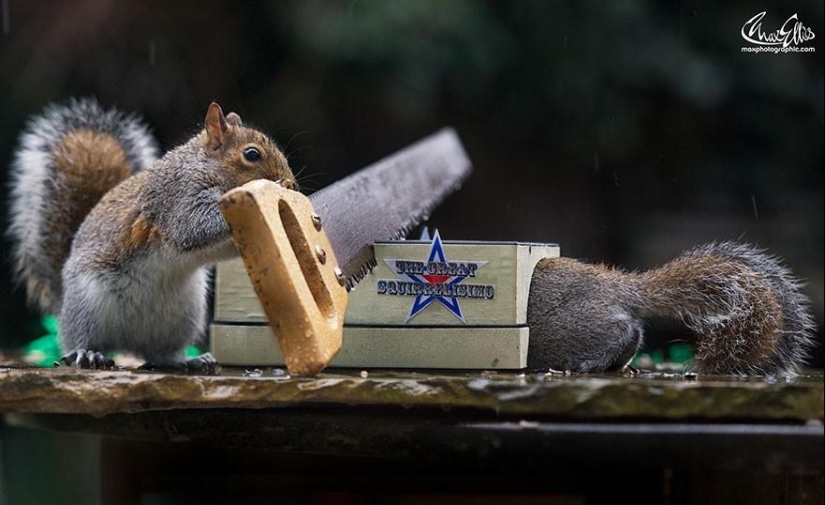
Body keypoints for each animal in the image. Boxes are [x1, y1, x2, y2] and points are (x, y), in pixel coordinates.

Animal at [8, 98, 296, 369]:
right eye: (252, 154)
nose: (292, 184)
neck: (204, 166)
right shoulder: (178, 200)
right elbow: (194, 227)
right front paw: (276, 186)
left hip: (183, 316)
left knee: (160, 355)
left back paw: (189, 361)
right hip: (86, 303)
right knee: (79, 338)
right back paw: (86, 353)